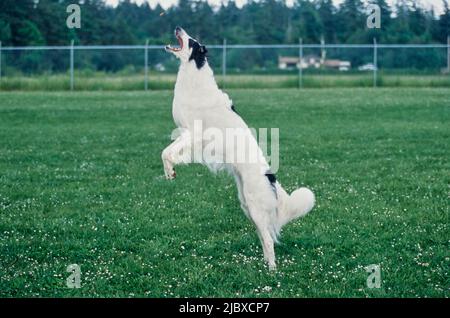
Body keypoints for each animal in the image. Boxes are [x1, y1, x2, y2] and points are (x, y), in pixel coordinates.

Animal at [163, 28, 314, 270]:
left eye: (192, 41)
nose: (178, 28)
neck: (194, 75)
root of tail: (271, 178)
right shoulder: (186, 133)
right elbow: (167, 151)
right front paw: (170, 172)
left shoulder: (193, 133)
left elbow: (167, 152)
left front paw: (170, 172)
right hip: (246, 205)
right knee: (264, 236)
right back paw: (264, 263)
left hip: (254, 206)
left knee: (269, 240)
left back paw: (272, 270)